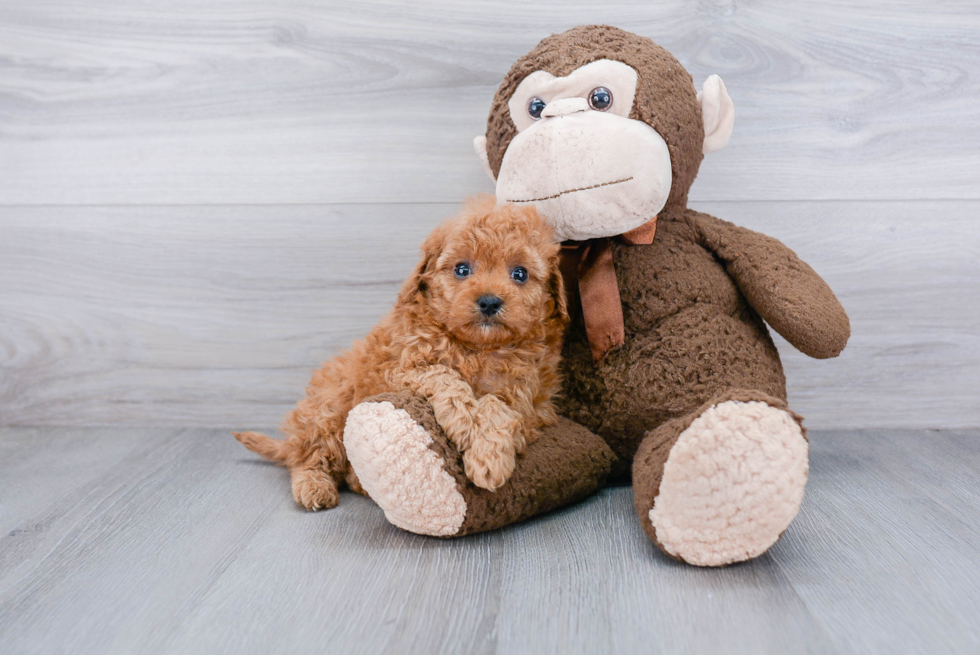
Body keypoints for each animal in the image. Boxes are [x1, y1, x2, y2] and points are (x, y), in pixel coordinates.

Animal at [235, 196, 568, 512]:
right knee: (307, 457)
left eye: (520, 274)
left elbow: (498, 407)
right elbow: (443, 376)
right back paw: (313, 486)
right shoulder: (398, 370)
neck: (477, 348)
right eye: (462, 269)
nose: (489, 301)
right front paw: (466, 425)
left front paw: (489, 456)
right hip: (330, 407)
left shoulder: (529, 399)